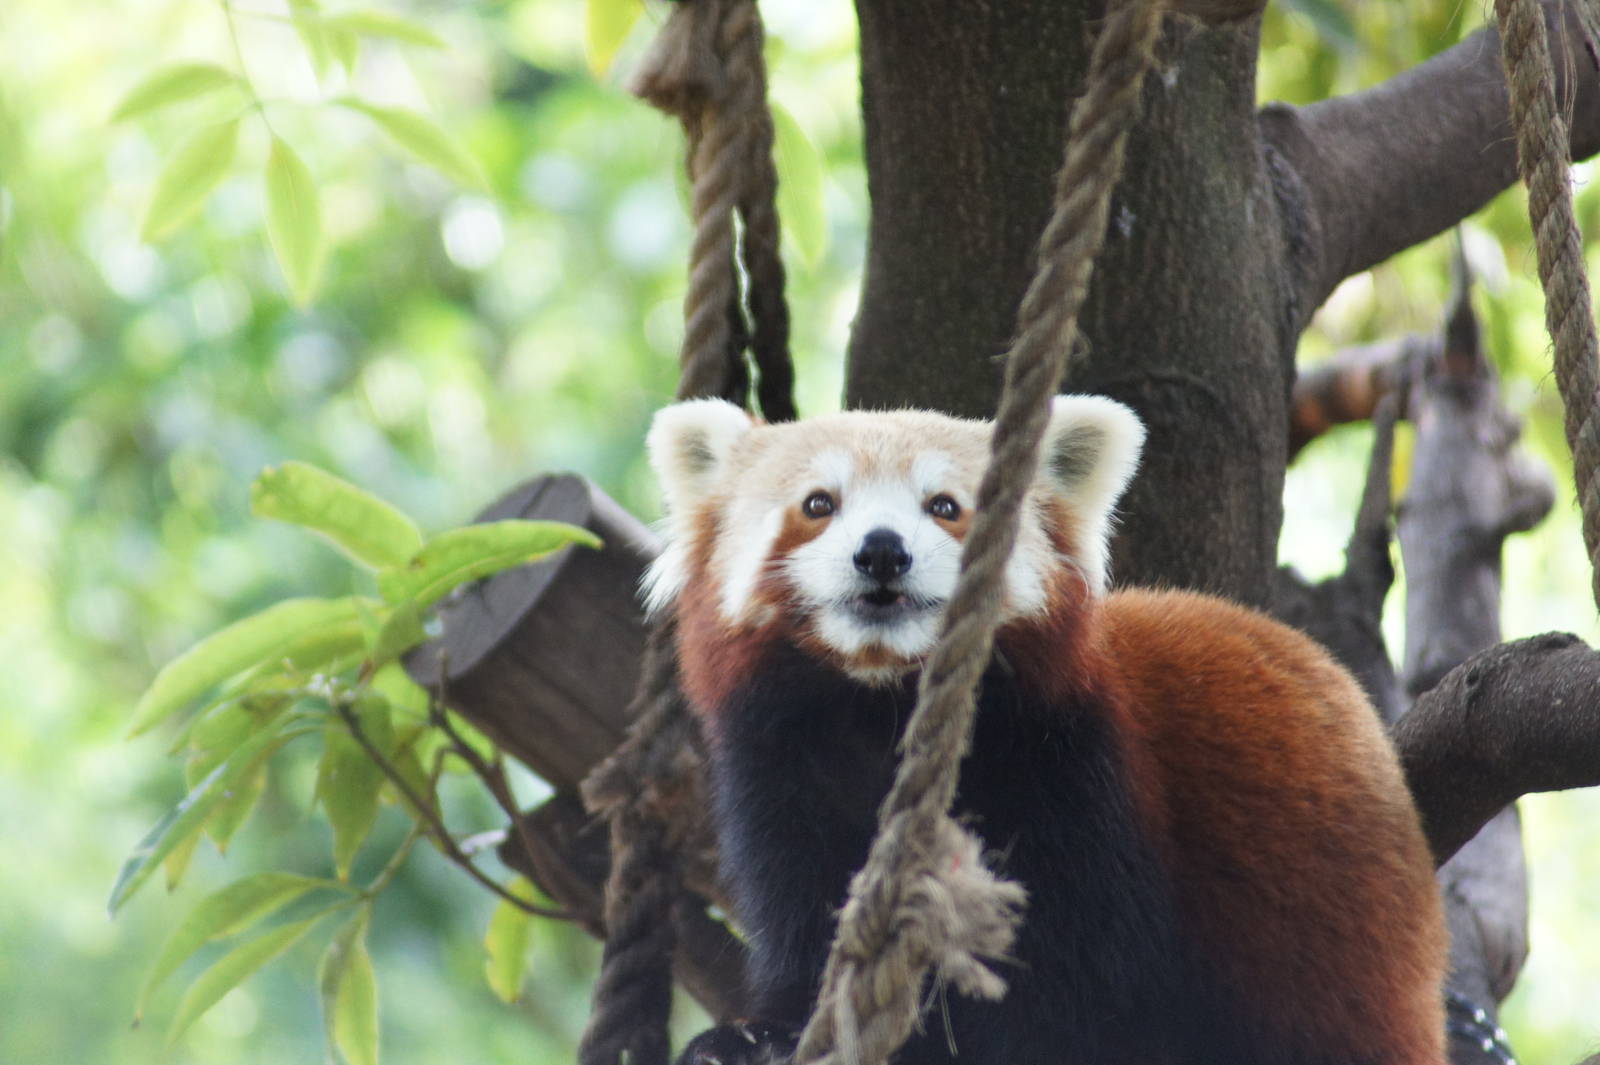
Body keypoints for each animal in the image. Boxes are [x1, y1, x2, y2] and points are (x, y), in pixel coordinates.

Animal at [644, 394, 1447, 1065]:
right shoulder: (780, 775)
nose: (882, 550)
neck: (882, 707)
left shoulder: (1069, 772)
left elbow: (1083, 996)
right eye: (819, 503)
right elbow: (806, 926)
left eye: (946, 506)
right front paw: (755, 1036)